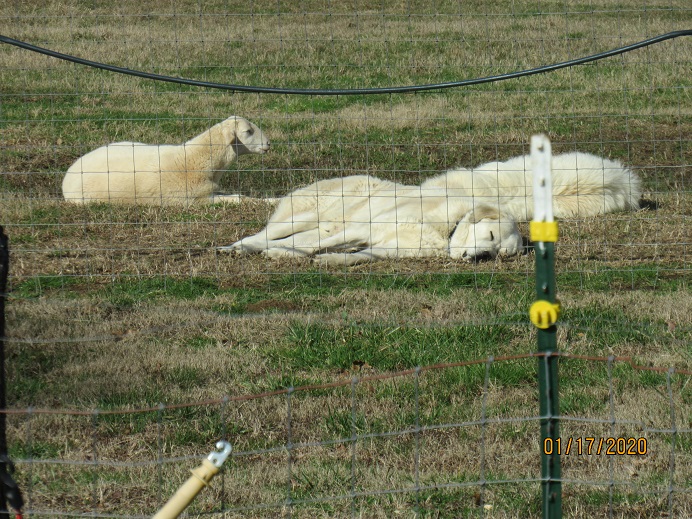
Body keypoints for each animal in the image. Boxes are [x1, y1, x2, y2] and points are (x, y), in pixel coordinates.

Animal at [61, 117, 270, 206]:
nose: (269, 143)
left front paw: (270, 200)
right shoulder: (193, 199)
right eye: (248, 131)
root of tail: (68, 174)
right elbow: (239, 199)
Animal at [219, 175, 520, 266]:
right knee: (260, 236)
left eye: (499, 253)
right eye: (491, 237)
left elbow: (356, 257)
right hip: (302, 219)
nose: (479, 257)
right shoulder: (361, 230)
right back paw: (238, 248)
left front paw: (331, 260)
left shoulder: (386, 249)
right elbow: (312, 247)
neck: (444, 229)